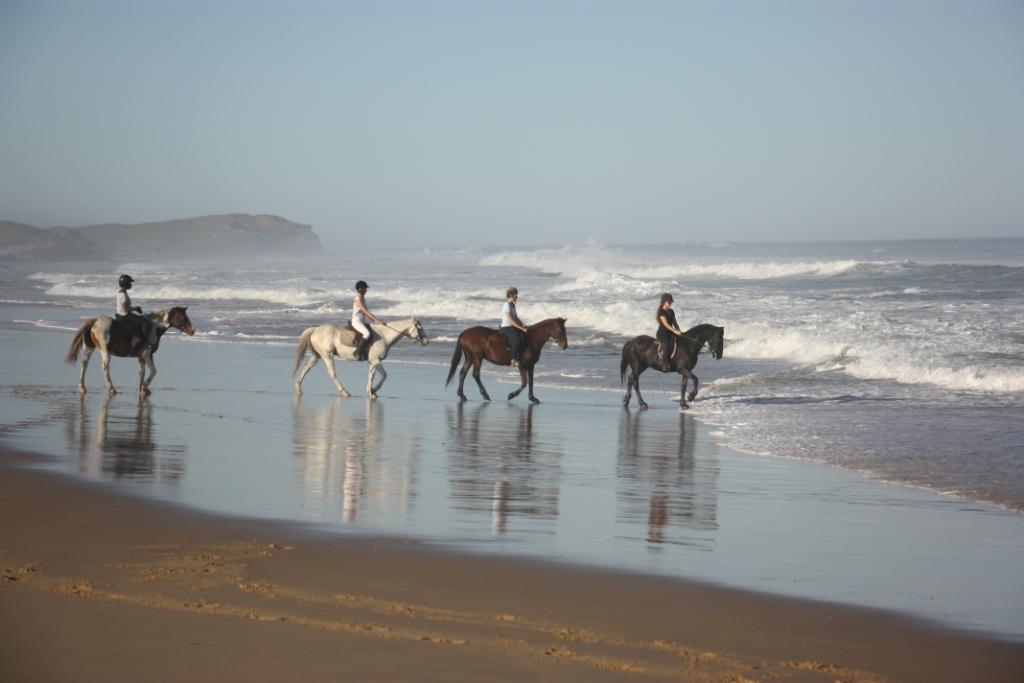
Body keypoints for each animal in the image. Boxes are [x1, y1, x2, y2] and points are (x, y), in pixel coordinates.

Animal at [65, 307, 196, 396]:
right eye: (183, 318)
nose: (193, 331)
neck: (154, 327)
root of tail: (95, 320)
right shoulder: (147, 354)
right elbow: (153, 371)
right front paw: (145, 386)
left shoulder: (141, 357)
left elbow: (141, 372)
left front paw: (142, 389)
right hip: (105, 351)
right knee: (105, 368)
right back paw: (112, 389)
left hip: (89, 348)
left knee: (84, 364)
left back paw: (82, 387)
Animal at [293, 317, 428, 399]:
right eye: (420, 328)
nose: (426, 342)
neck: (384, 335)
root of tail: (315, 329)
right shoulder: (376, 361)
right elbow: (384, 376)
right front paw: (374, 390)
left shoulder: (373, 362)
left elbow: (371, 377)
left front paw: (371, 392)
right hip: (327, 355)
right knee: (332, 374)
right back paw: (344, 392)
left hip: (317, 356)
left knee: (306, 369)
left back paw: (298, 388)